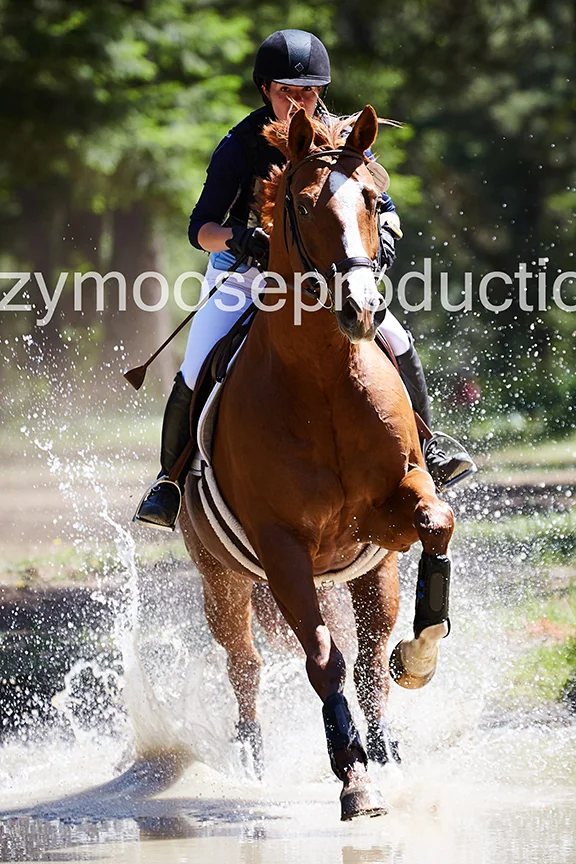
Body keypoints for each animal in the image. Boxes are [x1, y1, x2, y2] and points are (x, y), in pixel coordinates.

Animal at [179, 105, 454, 821]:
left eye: (373, 200)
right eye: (302, 206)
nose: (361, 308)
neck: (325, 380)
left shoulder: (389, 517)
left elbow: (437, 523)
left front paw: (419, 659)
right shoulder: (282, 549)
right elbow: (322, 660)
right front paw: (353, 778)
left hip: (371, 571)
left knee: (371, 657)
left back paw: (388, 744)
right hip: (221, 578)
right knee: (245, 663)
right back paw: (254, 758)